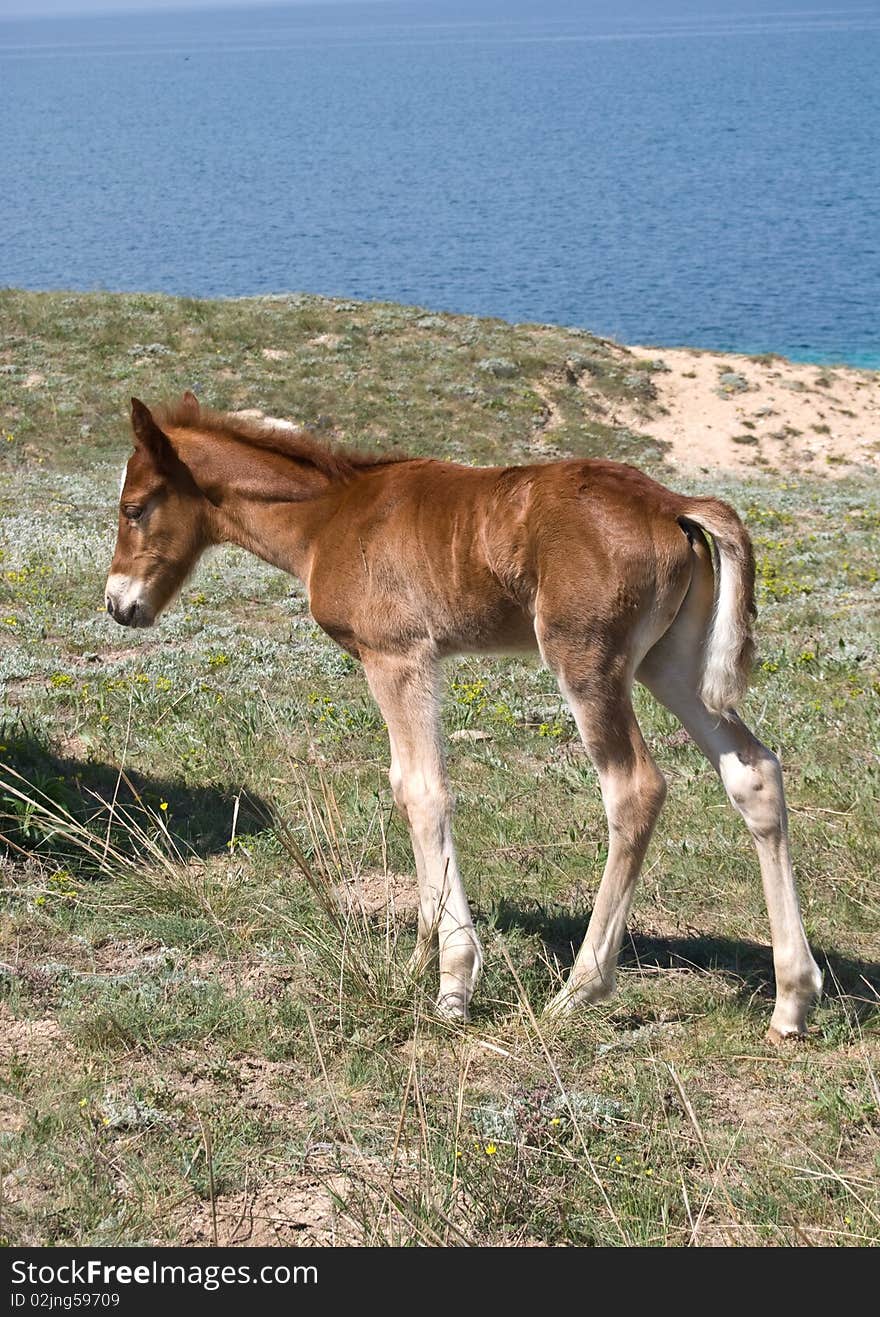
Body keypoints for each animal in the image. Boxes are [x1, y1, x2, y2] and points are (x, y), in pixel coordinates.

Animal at [104, 389, 827, 1037]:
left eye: (134, 508)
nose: (118, 603)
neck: (331, 516)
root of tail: (674, 505)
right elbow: (408, 787)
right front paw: (419, 957)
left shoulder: (398, 655)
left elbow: (423, 791)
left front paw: (453, 980)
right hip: (670, 664)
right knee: (754, 771)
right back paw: (791, 1002)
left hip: (586, 659)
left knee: (635, 788)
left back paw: (579, 990)